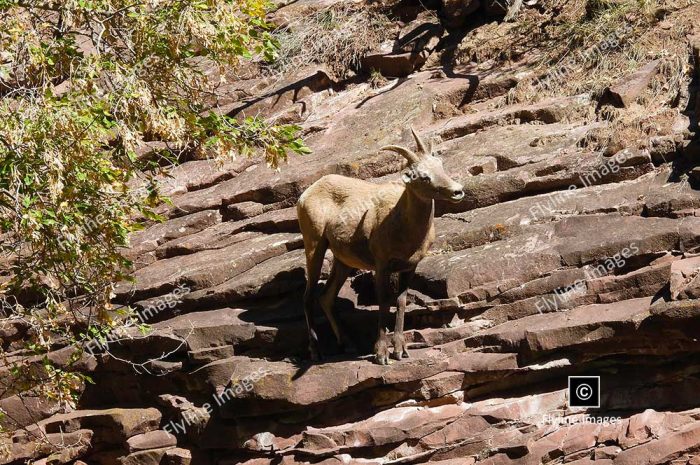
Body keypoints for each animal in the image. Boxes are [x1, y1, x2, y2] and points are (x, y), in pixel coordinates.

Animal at [296, 129, 464, 364]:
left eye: (440, 165)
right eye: (423, 176)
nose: (458, 191)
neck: (401, 224)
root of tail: (306, 195)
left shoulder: (408, 268)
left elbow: (400, 302)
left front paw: (401, 351)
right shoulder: (382, 266)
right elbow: (383, 303)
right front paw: (381, 355)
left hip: (343, 262)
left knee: (326, 297)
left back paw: (348, 344)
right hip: (314, 247)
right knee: (308, 297)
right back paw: (316, 351)